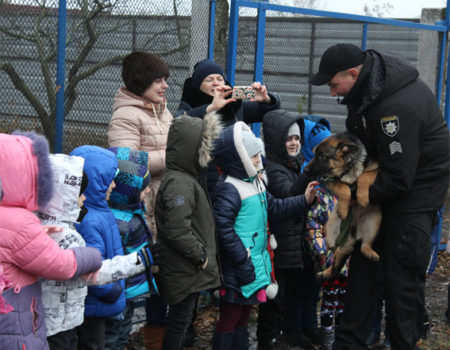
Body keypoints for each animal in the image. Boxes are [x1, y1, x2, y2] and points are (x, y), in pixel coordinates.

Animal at [306, 132, 380, 282]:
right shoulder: (329, 180)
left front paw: (362, 198)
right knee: (335, 258)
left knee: (362, 246)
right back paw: (326, 272)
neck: (348, 167)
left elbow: (364, 176)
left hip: (374, 222)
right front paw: (343, 209)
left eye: (321, 156)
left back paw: (370, 252)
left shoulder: (375, 169)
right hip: (333, 228)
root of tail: (355, 231)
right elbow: (344, 188)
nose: (304, 170)